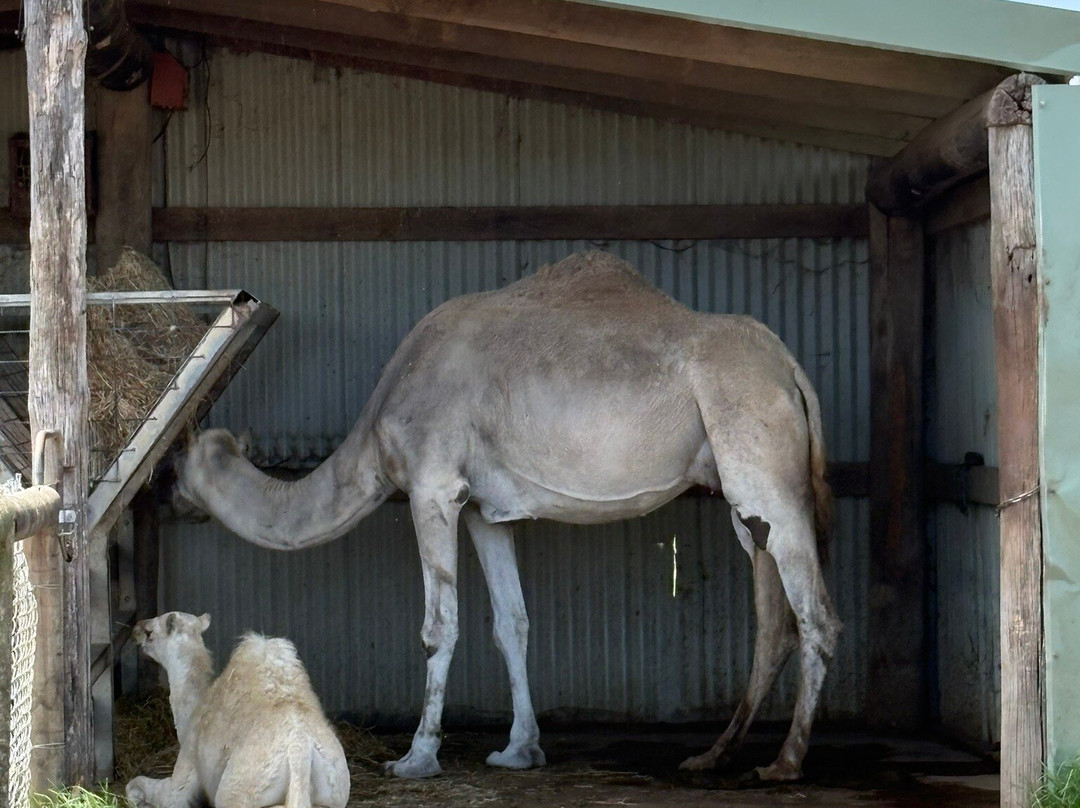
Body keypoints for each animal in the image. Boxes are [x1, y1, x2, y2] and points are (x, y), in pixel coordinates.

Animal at [125, 612, 349, 808]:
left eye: (150, 631)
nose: (134, 629)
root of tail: (300, 754)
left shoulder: (187, 767)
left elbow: (139, 787)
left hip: (237, 792)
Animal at [173, 251, 842, 782]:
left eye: (182, 464)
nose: (170, 495)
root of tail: (789, 369)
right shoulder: (483, 511)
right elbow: (511, 623)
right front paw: (520, 750)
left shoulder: (433, 488)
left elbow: (439, 625)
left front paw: (416, 758)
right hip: (744, 496)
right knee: (772, 619)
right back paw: (712, 756)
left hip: (764, 464)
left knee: (816, 617)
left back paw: (785, 762)